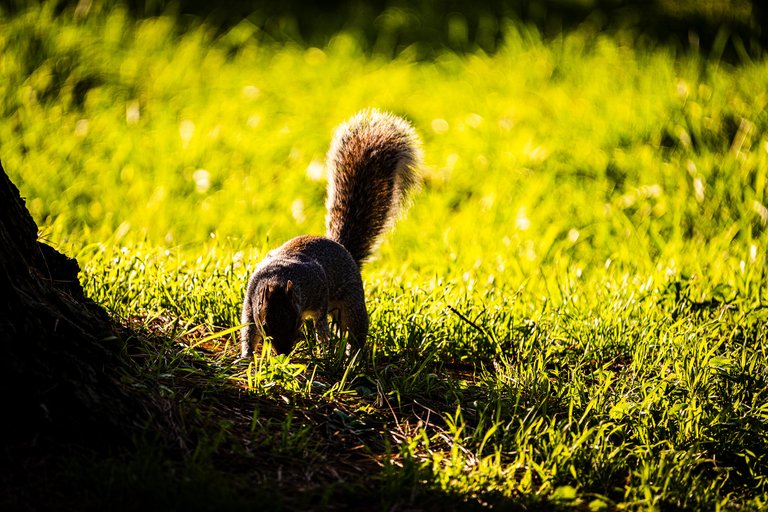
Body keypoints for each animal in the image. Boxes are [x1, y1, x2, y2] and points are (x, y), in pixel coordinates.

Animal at [238, 109, 420, 356]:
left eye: (295, 322)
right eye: (265, 325)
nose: (283, 353)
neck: (279, 278)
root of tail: (344, 249)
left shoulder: (319, 289)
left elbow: (320, 320)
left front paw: (323, 341)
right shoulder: (250, 301)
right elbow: (248, 330)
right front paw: (246, 356)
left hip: (352, 303)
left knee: (354, 328)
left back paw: (351, 353)